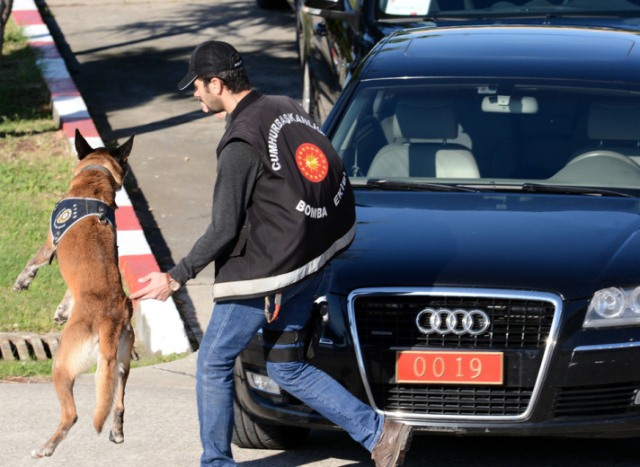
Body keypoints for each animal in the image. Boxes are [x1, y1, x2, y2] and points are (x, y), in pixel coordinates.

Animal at [14, 130, 136, 458]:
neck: (94, 180)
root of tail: (109, 320)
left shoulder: (48, 245)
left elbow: (34, 262)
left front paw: (22, 281)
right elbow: (70, 292)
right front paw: (61, 309)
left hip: (61, 365)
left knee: (72, 415)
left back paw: (46, 448)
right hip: (120, 366)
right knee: (118, 401)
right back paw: (117, 432)